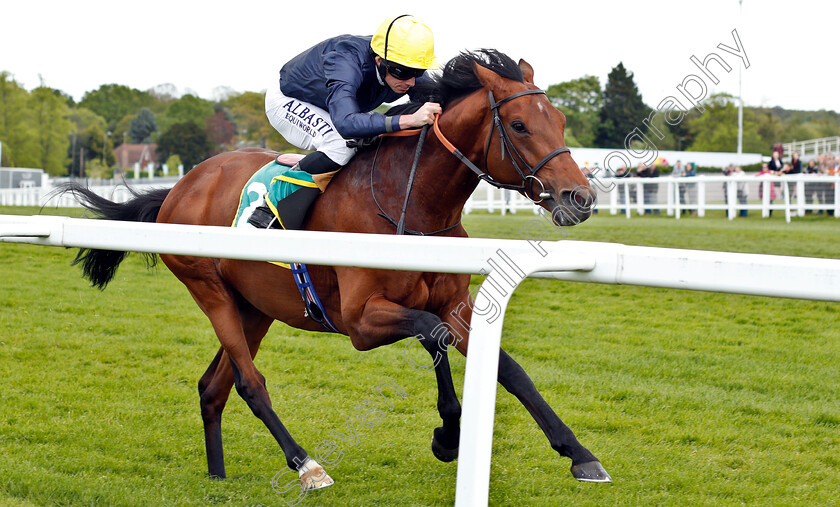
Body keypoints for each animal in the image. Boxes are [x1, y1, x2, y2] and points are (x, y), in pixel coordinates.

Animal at [60, 49, 612, 490]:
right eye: (519, 125)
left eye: (561, 120)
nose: (579, 198)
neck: (411, 203)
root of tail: (182, 185)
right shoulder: (360, 320)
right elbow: (432, 334)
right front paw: (448, 436)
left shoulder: (455, 302)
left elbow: (508, 369)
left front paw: (579, 454)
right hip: (209, 289)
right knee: (249, 382)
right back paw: (307, 466)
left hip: (255, 306)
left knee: (213, 387)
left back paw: (217, 477)